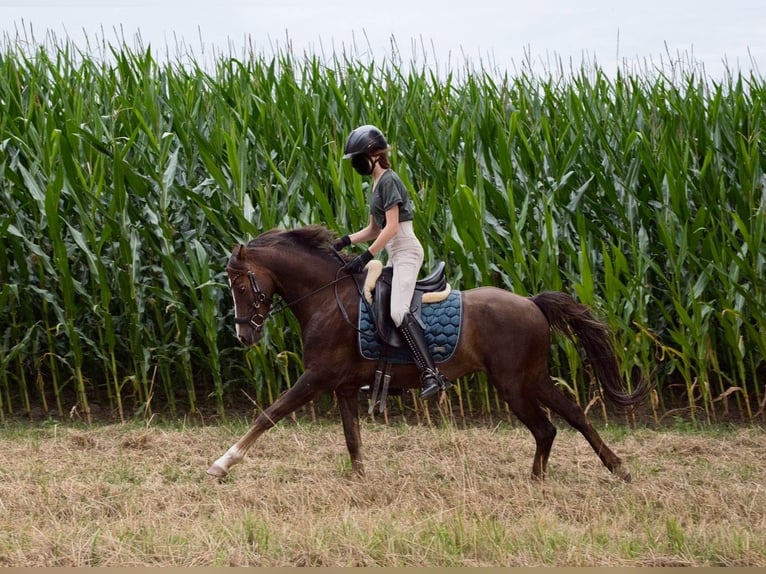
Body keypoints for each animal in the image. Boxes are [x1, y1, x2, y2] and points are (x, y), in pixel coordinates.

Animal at [207, 225, 652, 482]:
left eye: (241, 286)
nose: (244, 334)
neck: (327, 299)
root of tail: (531, 303)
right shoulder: (343, 386)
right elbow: (352, 438)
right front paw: (360, 480)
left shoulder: (316, 377)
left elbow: (268, 414)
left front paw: (222, 463)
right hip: (532, 378)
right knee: (572, 417)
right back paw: (609, 468)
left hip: (513, 384)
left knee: (546, 428)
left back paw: (542, 479)